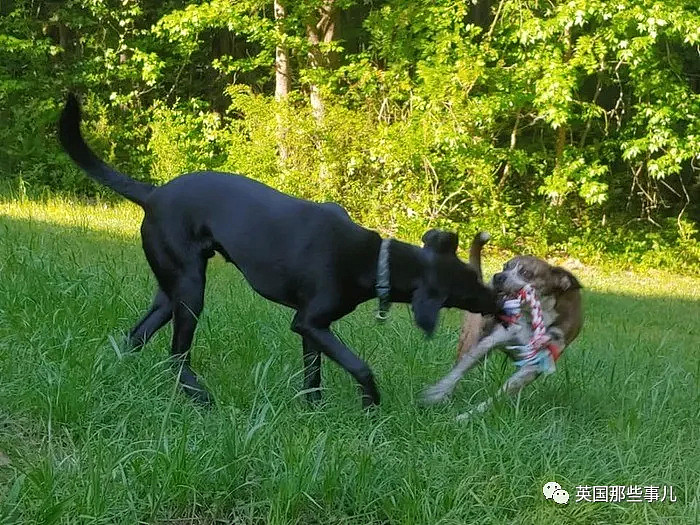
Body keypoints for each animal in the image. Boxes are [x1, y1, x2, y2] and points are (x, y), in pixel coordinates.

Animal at [57, 93, 500, 406]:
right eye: (466, 292)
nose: (498, 299)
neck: (377, 261)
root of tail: (152, 195)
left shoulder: (313, 329)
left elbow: (313, 375)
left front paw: (313, 411)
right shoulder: (309, 322)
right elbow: (359, 366)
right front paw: (371, 402)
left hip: (171, 291)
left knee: (136, 336)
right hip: (189, 290)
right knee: (176, 354)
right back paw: (198, 397)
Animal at [424, 233, 584, 418]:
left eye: (526, 273)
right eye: (505, 266)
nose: (498, 276)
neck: (531, 318)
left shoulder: (534, 364)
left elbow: (504, 391)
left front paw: (469, 415)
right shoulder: (491, 340)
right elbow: (460, 370)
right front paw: (438, 393)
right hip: (472, 333)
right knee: (461, 359)